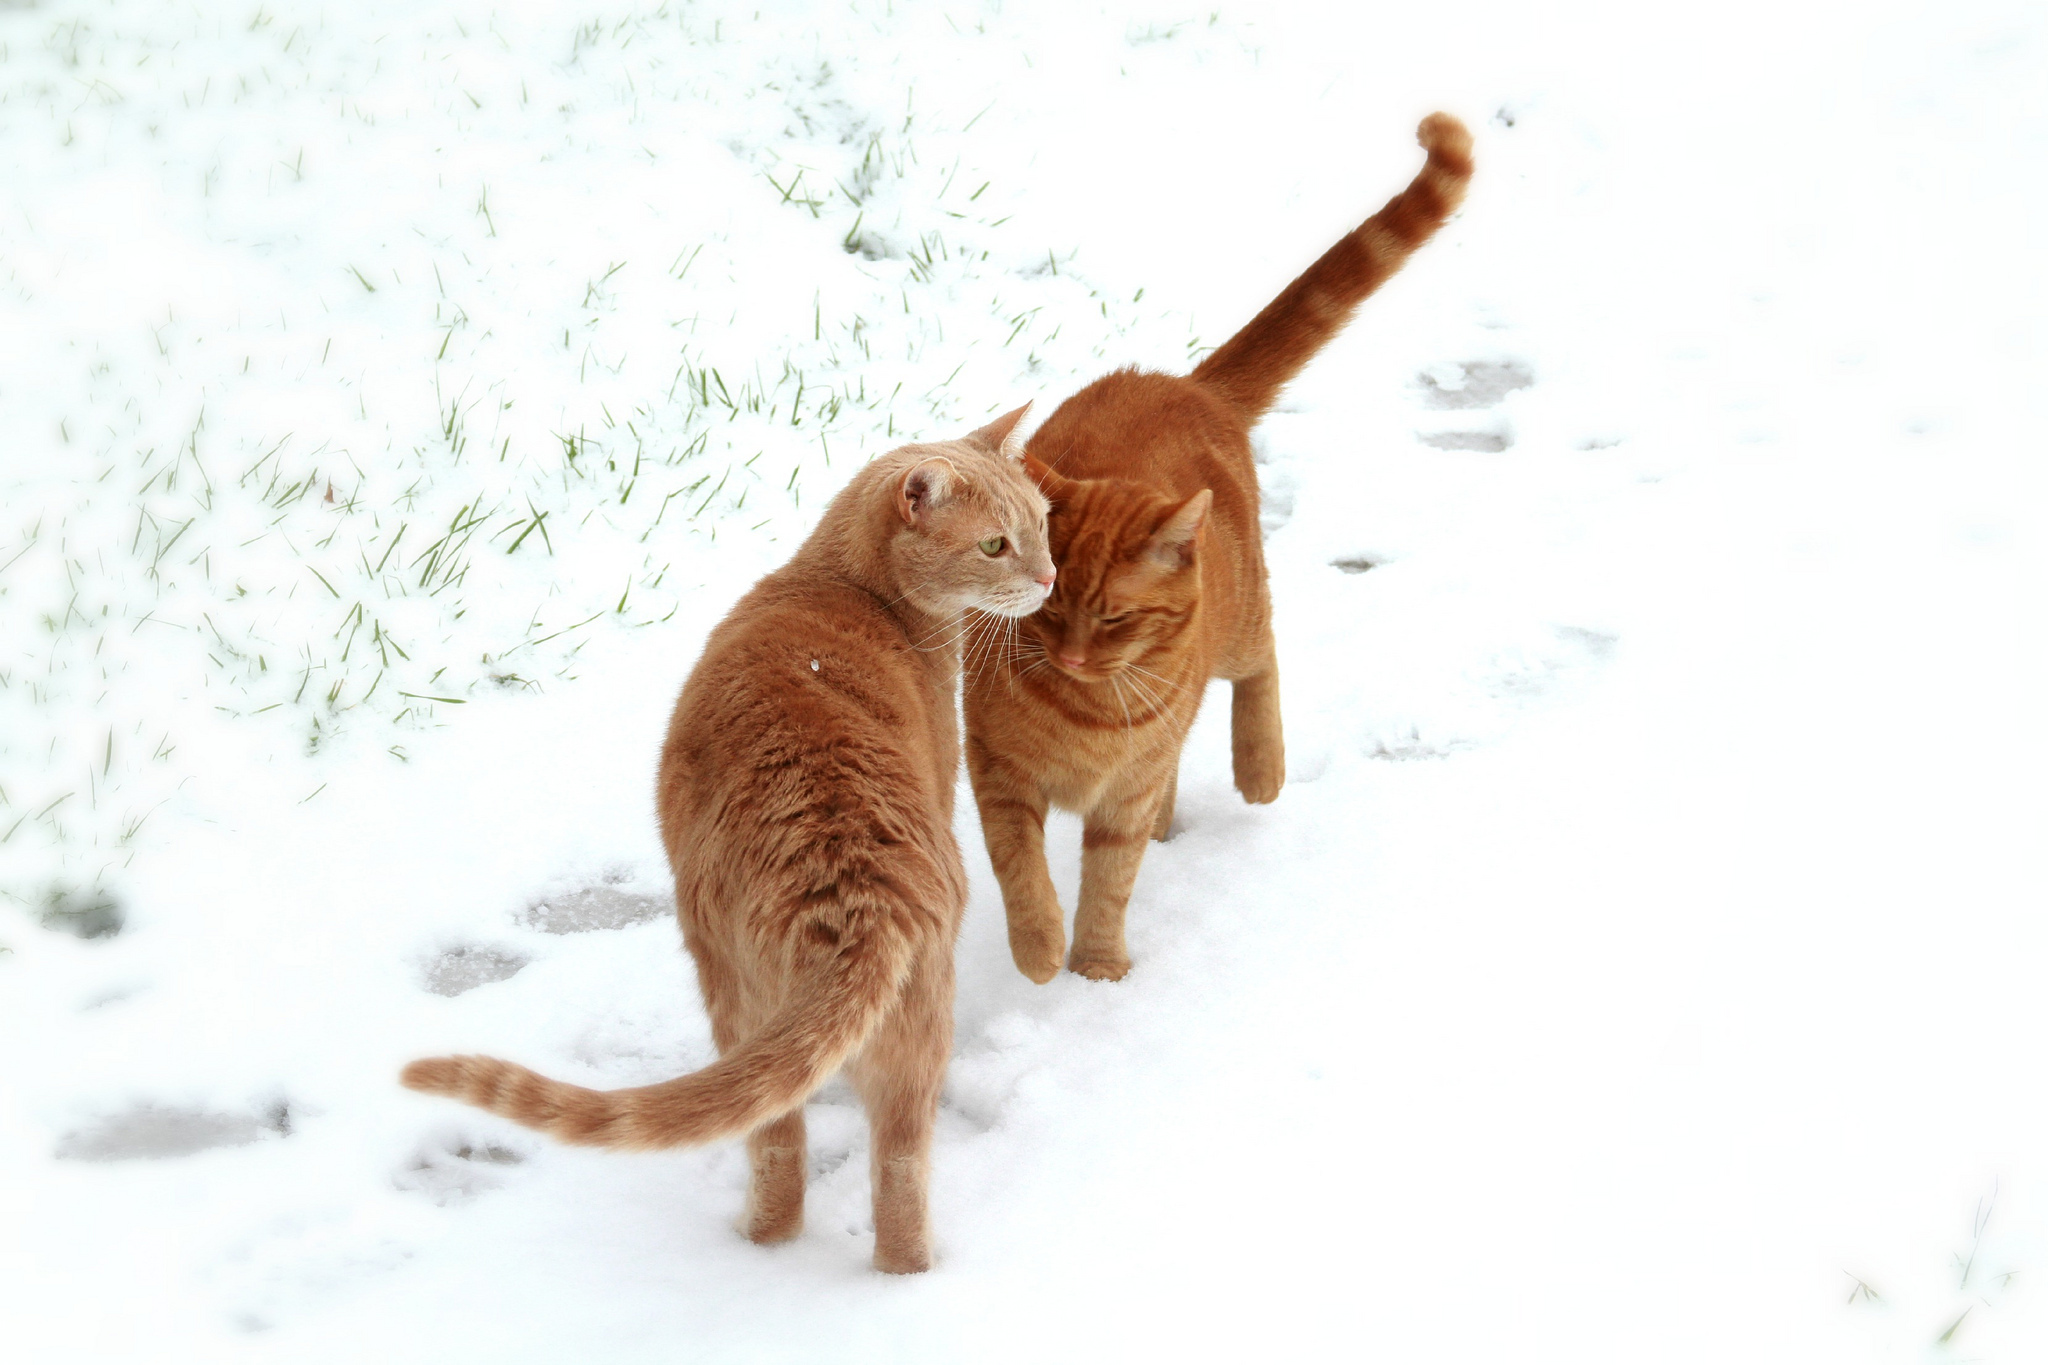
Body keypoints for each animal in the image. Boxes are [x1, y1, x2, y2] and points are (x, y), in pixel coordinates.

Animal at [409, 409, 1064, 1285]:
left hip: (738, 991)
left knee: (805, 1158)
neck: (843, 587)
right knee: (879, 1169)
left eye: (1042, 527)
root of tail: (857, 896)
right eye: (998, 544)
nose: (1050, 577)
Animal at [962, 114, 1474, 982]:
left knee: (1262, 662)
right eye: (1048, 606)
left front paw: (1096, 970)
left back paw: (1260, 768)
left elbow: (1109, 880)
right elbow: (1022, 873)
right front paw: (1041, 951)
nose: (1070, 656)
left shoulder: (1123, 796)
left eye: (1110, 617)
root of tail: (1187, 384)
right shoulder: (998, 775)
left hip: (1237, 627)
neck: (1086, 709)